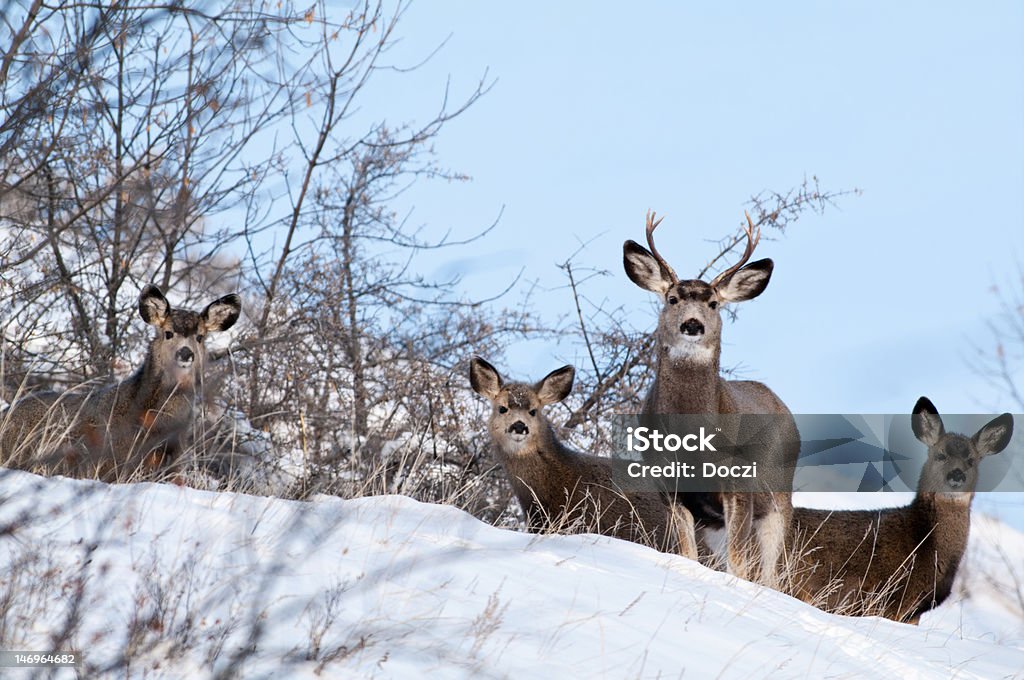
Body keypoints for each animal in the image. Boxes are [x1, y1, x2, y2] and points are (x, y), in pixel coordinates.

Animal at [618, 209, 802, 585]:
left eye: (714, 303)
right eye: (672, 299)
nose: (692, 324)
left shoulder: (739, 484)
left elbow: (738, 565)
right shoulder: (669, 485)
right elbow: (687, 554)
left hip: (779, 497)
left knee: (771, 575)